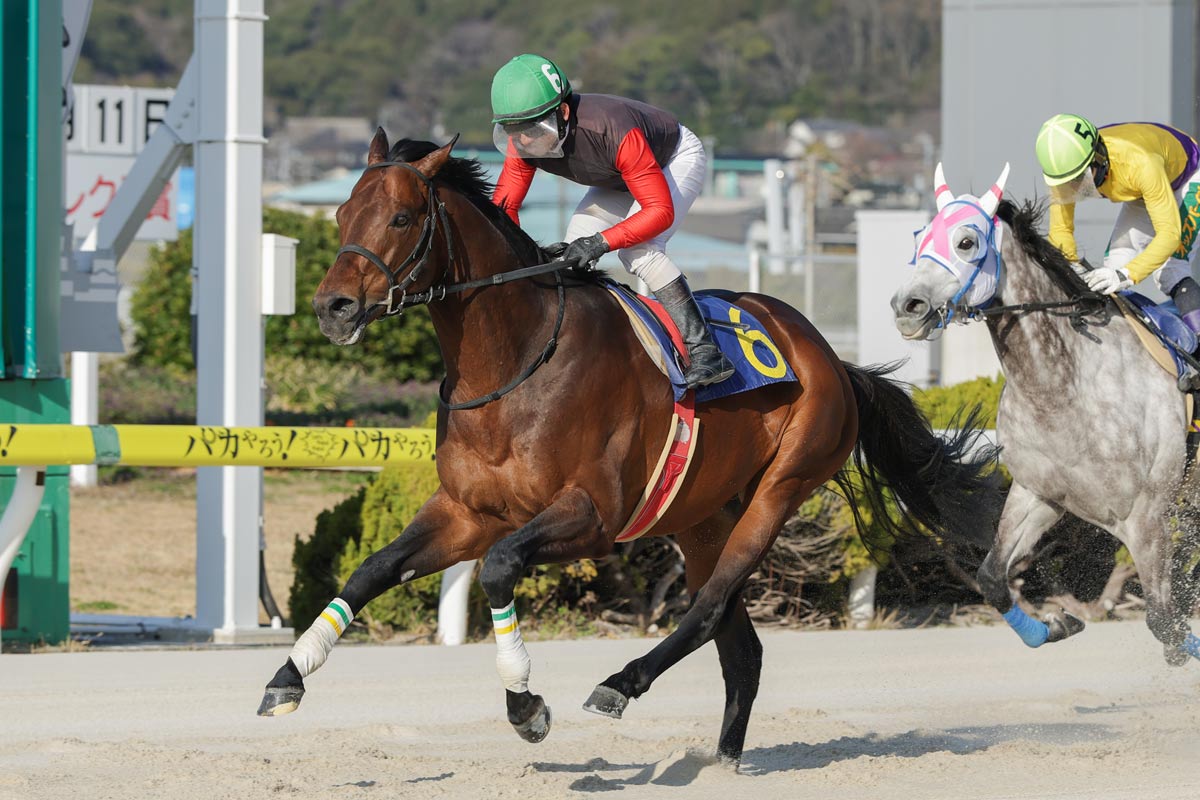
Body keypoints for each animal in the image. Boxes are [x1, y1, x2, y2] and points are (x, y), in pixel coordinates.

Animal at [256, 131, 1000, 766]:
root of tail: (830, 358)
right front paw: (288, 674)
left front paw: (525, 705)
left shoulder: (591, 516)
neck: (514, 363)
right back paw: (723, 761)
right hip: (701, 516)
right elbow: (371, 571)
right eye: (342, 213)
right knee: (742, 648)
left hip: (780, 489)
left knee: (708, 609)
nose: (333, 307)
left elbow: (497, 569)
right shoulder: (467, 512)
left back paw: (621, 683)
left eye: (403, 218)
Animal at [891, 162, 1200, 665]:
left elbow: (1164, 622)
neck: (1065, 386)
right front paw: (1057, 624)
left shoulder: (1147, 517)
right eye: (920, 237)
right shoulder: (1038, 494)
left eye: (966, 241)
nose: (907, 306)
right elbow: (992, 579)